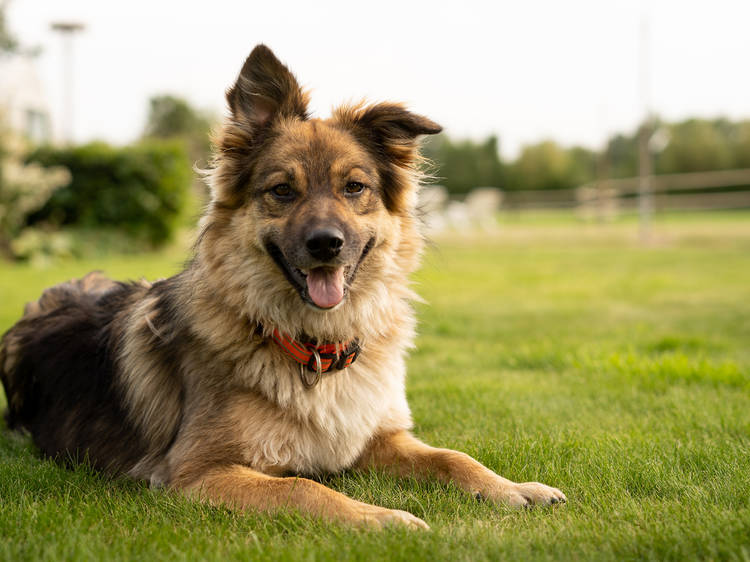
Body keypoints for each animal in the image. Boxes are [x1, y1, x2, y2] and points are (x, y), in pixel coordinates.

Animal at [0, 44, 568, 524]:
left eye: (354, 187)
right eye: (281, 190)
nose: (326, 244)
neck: (311, 346)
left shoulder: (375, 437)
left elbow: (454, 456)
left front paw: (514, 488)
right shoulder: (198, 472)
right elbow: (305, 487)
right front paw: (383, 519)